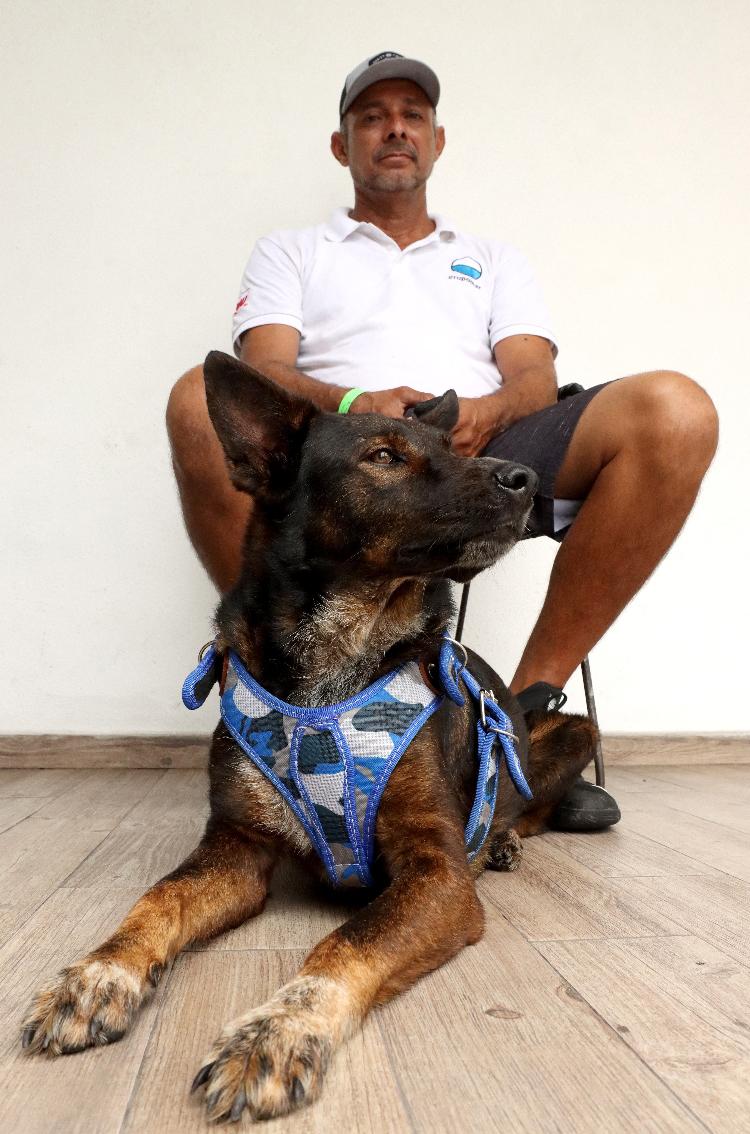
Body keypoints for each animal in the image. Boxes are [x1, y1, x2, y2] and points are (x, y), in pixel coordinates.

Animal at [20, 353, 594, 1124]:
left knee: (526, 803)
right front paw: (96, 974)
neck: (338, 658)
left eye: (455, 449)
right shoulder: (234, 850)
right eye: (384, 457)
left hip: (572, 731)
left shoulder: (438, 874)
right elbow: (155, 901)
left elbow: (345, 943)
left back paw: (501, 840)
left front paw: (277, 1032)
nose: (527, 480)